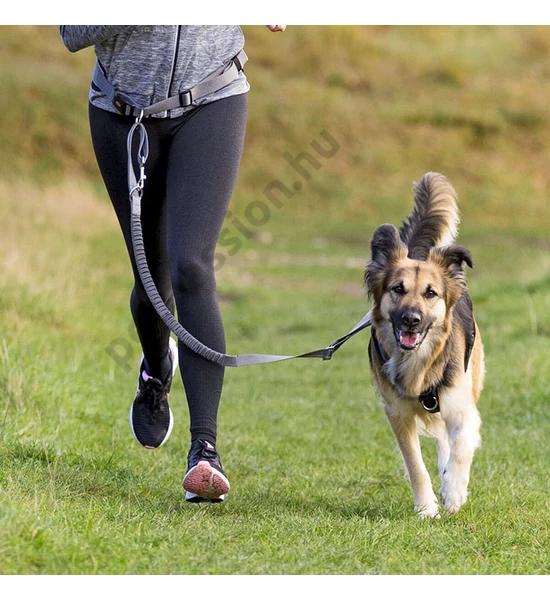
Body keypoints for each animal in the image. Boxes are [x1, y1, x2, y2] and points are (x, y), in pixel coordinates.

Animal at [366, 171, 488, 516]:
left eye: (430, 293)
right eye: (397, 288)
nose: (411, 319)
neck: (418, 361)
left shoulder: (463, 407)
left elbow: (461, 447)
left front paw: (454, 490)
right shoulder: (397, 414)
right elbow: (415, 464)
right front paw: (426, 509)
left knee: (450, 438)